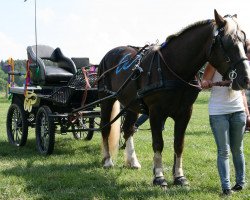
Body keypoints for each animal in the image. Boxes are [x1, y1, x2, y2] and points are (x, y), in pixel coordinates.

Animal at [96, 9, 250, 188]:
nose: (246, 79)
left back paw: (132, 161)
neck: (173, 67)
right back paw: (107, 161)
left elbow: (179, 144)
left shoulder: (184, 113)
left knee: (128, 129)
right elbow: (158, 143)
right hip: (106, 99)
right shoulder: (156, 113)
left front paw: (179, 176)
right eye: (228, 42)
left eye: (244, 43)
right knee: (106, 127)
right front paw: (159, 177)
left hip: (131, 104)